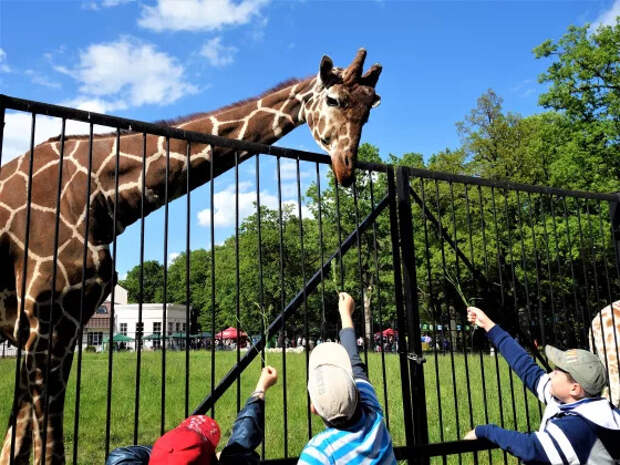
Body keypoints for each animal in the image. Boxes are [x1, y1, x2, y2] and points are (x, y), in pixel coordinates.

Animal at [0, 49, 382, 462]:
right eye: (334, 100)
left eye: (369, 111)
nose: (345, 169)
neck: (103, 197)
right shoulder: (47, 320)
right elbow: (42, 449)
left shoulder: (55, 326)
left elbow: (14, 443)